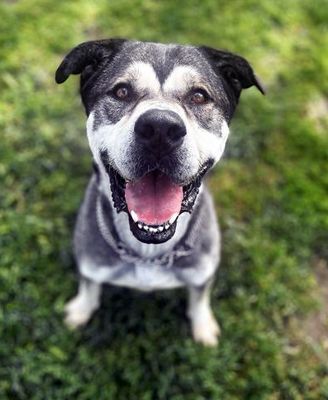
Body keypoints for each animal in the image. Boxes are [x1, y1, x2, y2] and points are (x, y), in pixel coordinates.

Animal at [54, 39, 264, 346]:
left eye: (199, 96)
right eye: (121, 91)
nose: (160, 128)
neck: (148, 251)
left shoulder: (201, 272)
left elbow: (199, 298)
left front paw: (203, 326)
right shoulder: (91, 264)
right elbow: (90, 286)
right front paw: (81, 310)